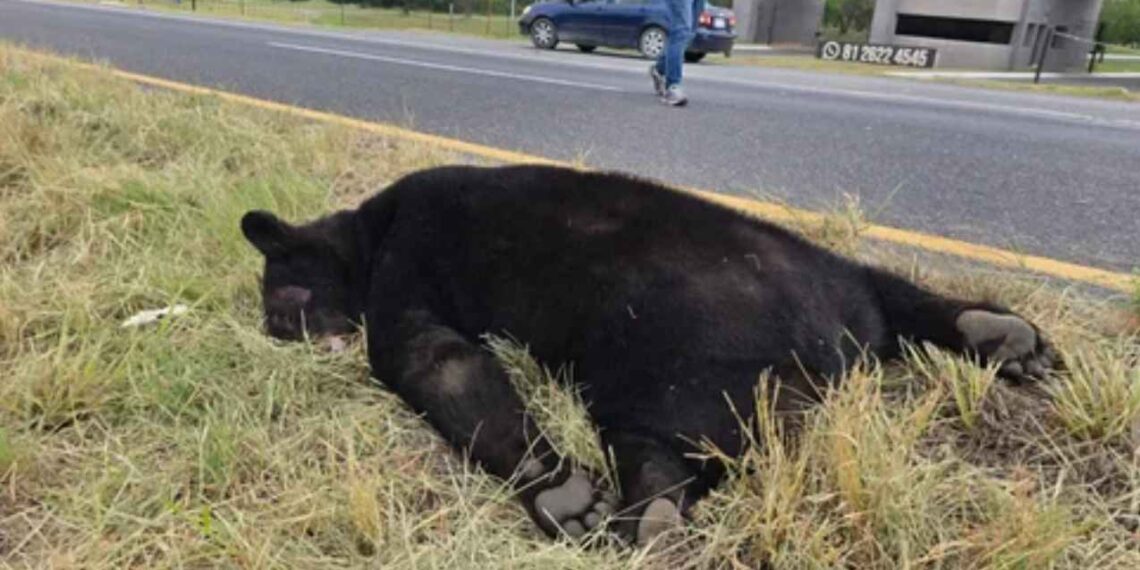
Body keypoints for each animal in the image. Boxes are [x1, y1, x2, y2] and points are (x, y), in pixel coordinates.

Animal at [240, 164, 1057, 546]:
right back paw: (1004, 338)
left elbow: (439, 367)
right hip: (830, 283)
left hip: (653, 372)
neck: (366, 232)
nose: (273, 331)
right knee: (899, 296)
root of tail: (831, 350)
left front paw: (561, 491)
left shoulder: (405, 284)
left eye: (284, 297)